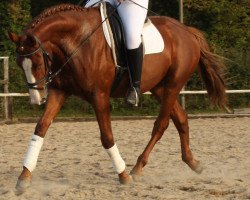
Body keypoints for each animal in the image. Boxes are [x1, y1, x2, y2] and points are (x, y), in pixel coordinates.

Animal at [8, 3, 227, 190]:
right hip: (159, 87)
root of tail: (186, 31)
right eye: (19, 63)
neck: (77, 41)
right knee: (180, 118)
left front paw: (123, 176)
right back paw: (193, 163)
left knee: (161, 124)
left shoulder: (99, 96)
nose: (36, 99)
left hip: (174, 84)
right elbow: (41, 128)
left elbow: (107, 137)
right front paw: (24, 177)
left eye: (37, 62)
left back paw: (137, 168)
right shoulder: (59, 92)